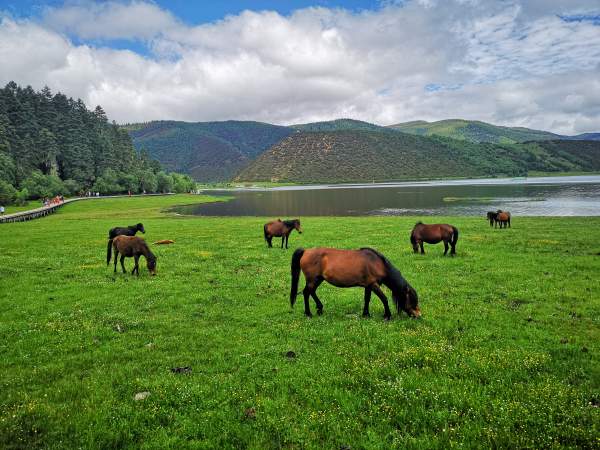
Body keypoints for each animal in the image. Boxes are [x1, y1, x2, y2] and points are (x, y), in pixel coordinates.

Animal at [288, 246, 420, 320]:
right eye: (413, 300)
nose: (419, 315)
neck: (377, 263)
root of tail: (306, 251)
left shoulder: (368, 285)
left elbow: (367, 299)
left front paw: (366, 314)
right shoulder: (374, 285)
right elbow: (384, 299)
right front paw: (388, 316)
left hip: (318, 279)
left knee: (312, 292)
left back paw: (319, 308)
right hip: (313, 279)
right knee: (306, 292)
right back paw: (308, 313)